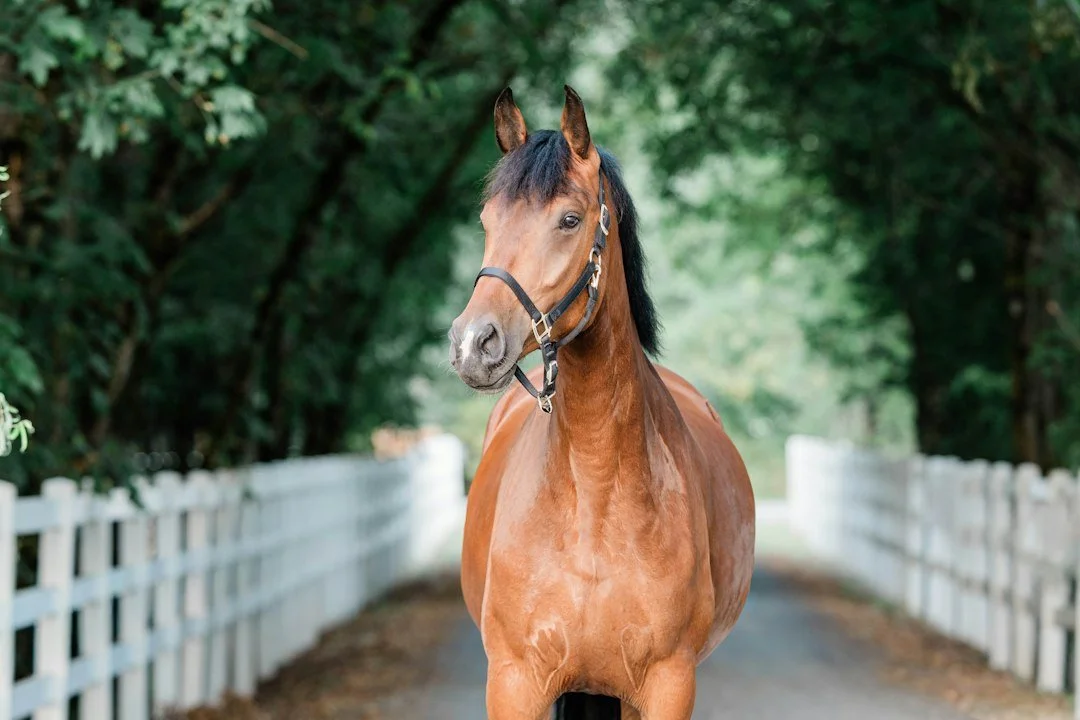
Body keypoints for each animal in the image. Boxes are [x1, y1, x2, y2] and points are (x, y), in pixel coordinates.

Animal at [448, 85, 756, 720]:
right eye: (487, 220)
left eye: (569, 219)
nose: (473, 343)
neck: (593, 497)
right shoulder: (514, 682)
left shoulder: (668, 685)